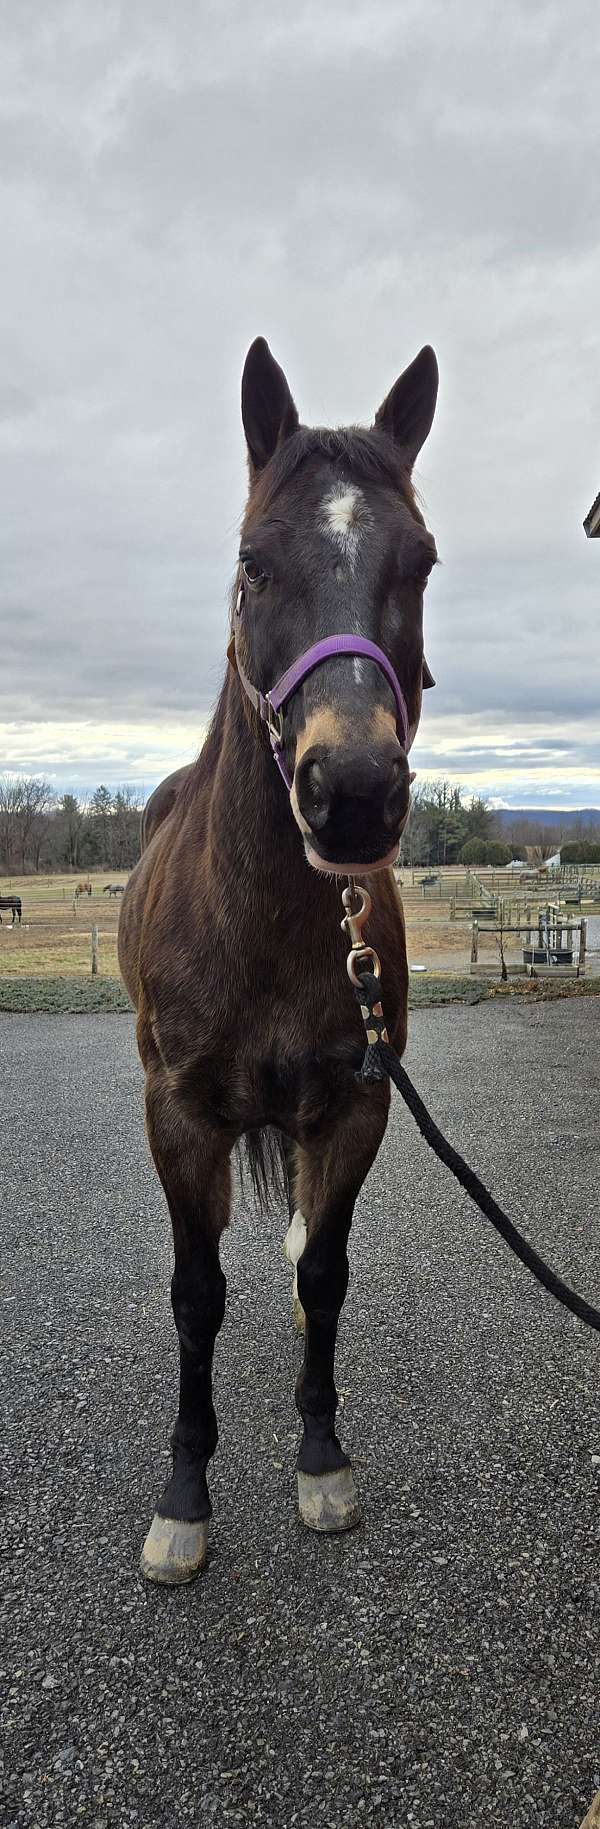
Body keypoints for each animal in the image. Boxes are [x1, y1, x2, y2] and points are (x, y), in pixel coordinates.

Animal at [119, 332, 439, 1587]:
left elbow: (324, 1274)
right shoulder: (180, 1116)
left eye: (423, 562)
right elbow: (195, 1294)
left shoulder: (353, 1108)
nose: (349, 793)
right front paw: (185, 1494)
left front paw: (321, 1457)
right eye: (253, 561)